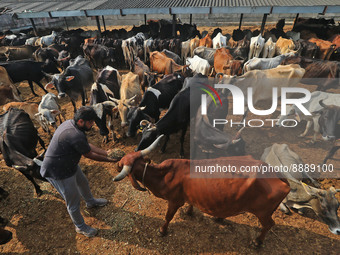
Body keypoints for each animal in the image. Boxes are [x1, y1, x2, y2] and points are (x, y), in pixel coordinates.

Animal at [113, 136, 290, 248]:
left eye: (121, 164)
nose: (116, 164)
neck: (164, 174)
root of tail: (275, 174)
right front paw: (189, 212)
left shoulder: (174, 201)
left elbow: (168, 217)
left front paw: (162, 231)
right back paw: (220, 218)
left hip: (263, 213)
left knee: (269, 225)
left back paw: (257, 242)